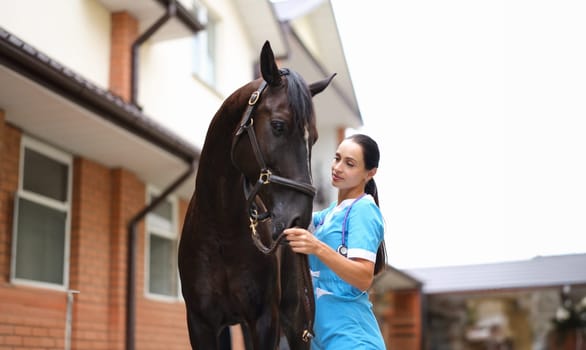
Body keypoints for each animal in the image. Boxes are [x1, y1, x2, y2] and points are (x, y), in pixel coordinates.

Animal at [177, 41, 334, 350]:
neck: (220, 233)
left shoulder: (264, 320)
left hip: (296, 324)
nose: (299, 218)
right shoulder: (201, 324)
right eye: (278, 125)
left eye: (314, 138)